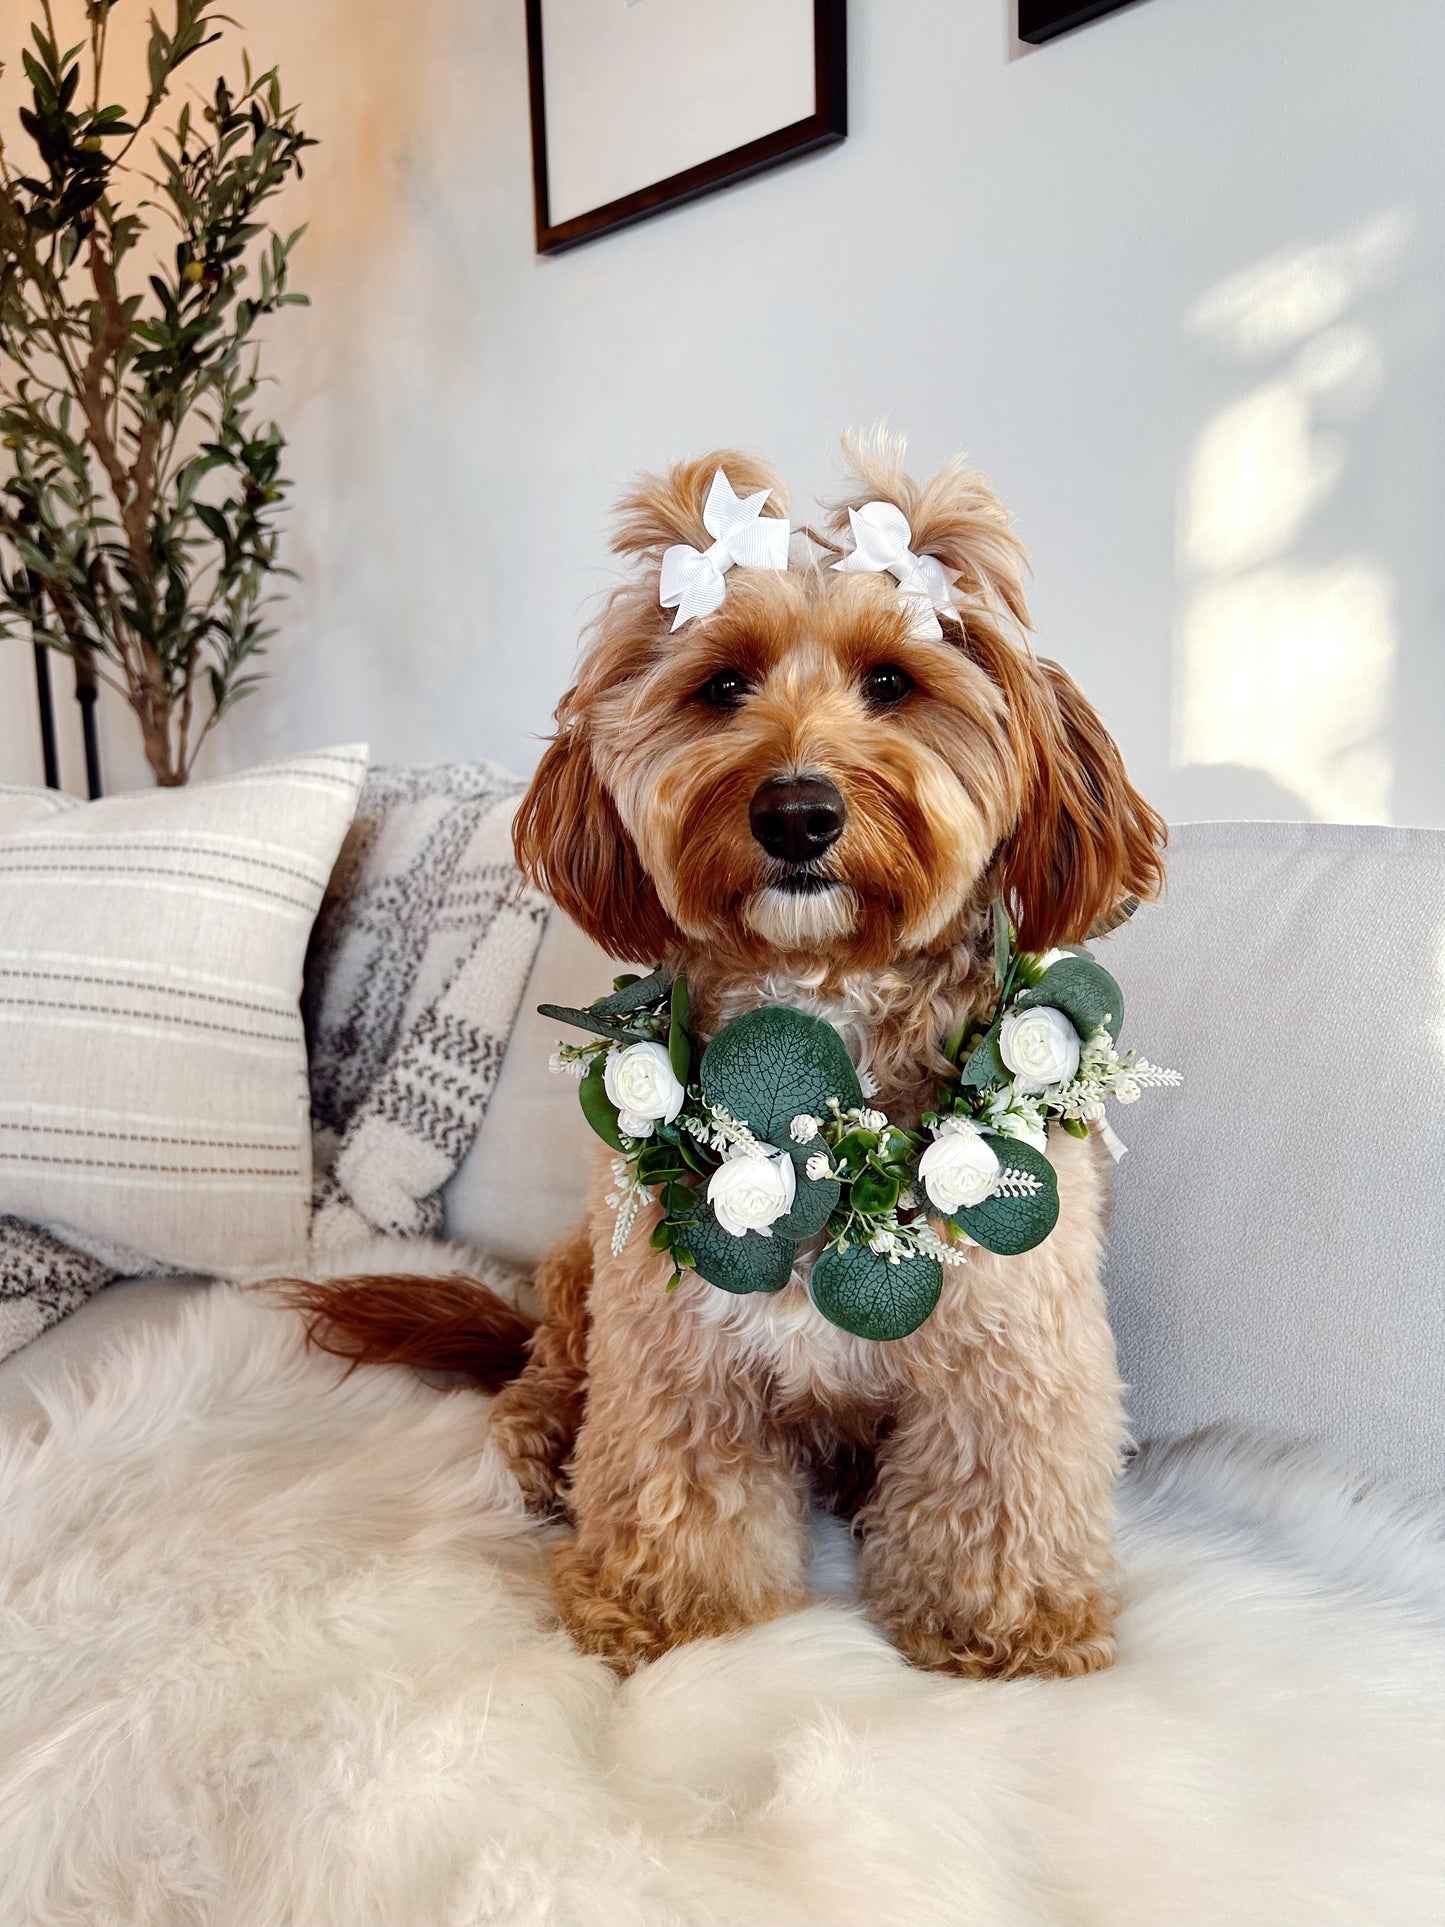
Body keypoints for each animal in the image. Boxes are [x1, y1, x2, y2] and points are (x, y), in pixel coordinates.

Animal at [300, 433, 1171, 1672]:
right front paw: (665, 1611)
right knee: (548, 1371)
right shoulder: (670, 1343)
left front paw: (1002, 1620)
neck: (812, 1059)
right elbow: (672, 1482)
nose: (796, 810)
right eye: (722, 685)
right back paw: (540, 1444)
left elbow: (996, 1485)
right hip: (580, 1271)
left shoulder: (1010, 1344)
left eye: (890, 682)